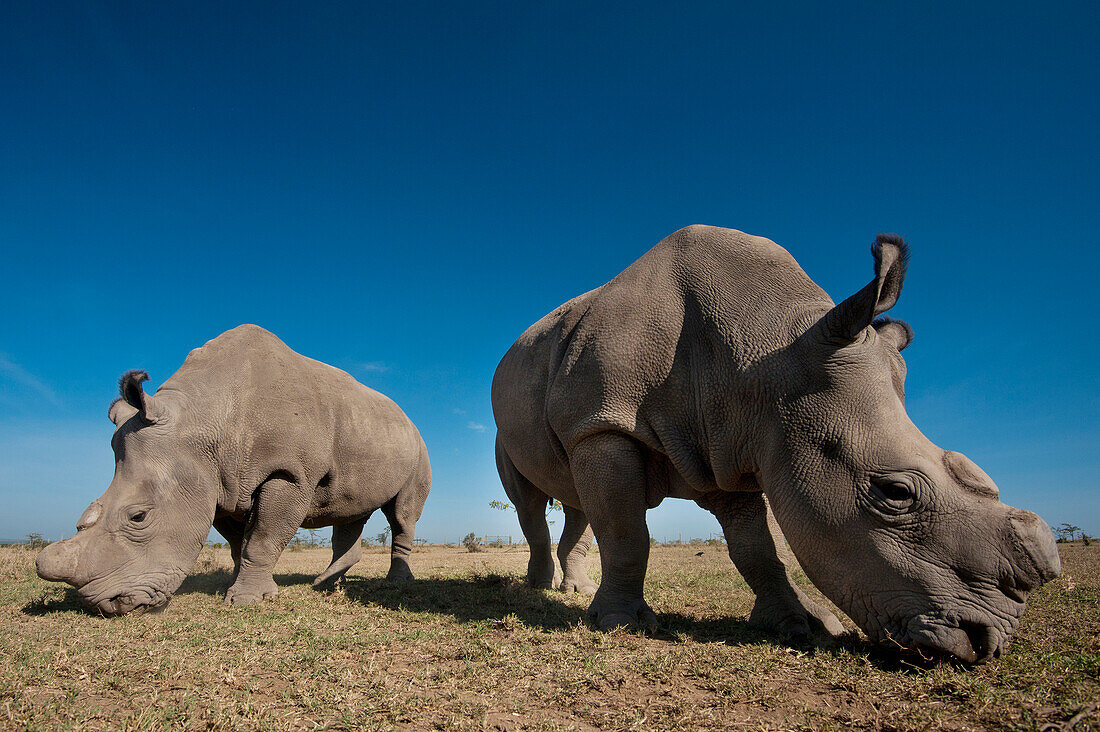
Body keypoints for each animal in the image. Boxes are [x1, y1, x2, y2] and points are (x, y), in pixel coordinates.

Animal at [35, 323, 429, 612]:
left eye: (139, 517)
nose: (106, 604)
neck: (202, 420)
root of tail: (406, 417)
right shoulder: (216, 482)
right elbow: (239, 543)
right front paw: (236, 586)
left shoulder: (289, 474)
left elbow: (263, 539)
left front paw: (247, 601)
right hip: (367, 430)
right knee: (348, 510)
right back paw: (328, 586)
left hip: (417, 446)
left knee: (401, 515)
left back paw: (394, 582)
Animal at [495, 226, 1060, 660]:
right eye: (895, 493)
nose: (987, 642)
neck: (768, 355)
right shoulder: (603, 424)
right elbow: (627, 533)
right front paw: (622, 625)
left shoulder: (731, 442)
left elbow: (757, 550)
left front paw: (803, 625)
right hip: (524, 425)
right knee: (532, 501)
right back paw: (537, 590)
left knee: (574, 499)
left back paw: (571, 591)